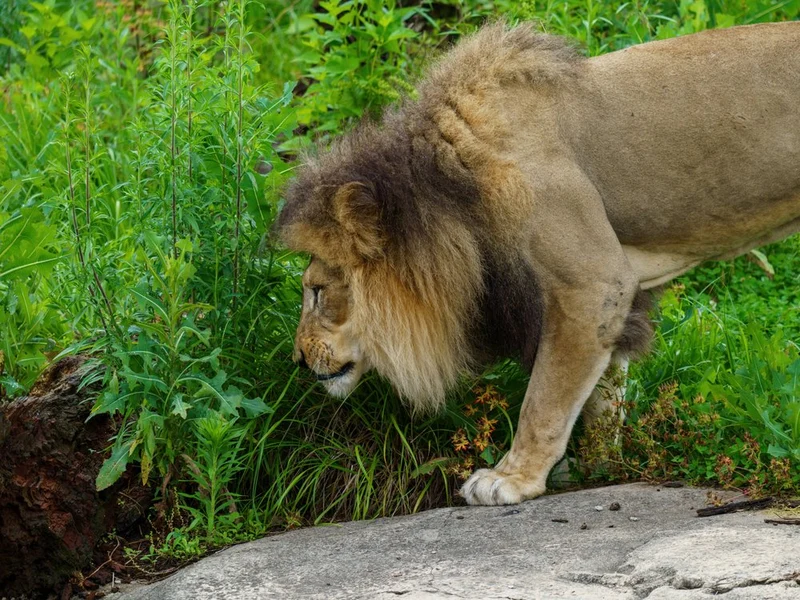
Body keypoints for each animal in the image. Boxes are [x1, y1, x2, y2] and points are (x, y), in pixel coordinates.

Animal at [276, 21, 800, 505]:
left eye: (317, 291)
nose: (298, 359)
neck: (455, 192)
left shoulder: (592, 281)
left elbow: (545, 397)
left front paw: (511, 478)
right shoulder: (608, 296)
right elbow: (601, 392)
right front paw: (599, 466)